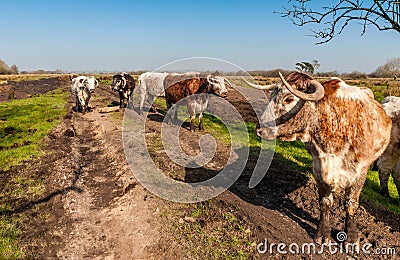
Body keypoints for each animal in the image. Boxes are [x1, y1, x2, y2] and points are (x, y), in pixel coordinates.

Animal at [253, 71, 390, 244]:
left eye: (289, 99)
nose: (260, 130)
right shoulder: (319, 167)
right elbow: (325, 202)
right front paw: (322, 233)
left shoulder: (360, 172)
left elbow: (351, 204)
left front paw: (352, 236)